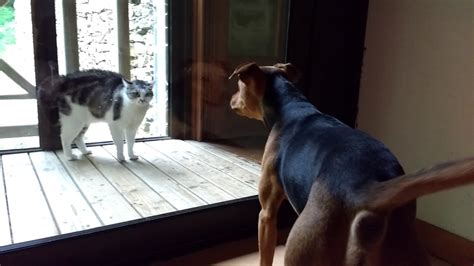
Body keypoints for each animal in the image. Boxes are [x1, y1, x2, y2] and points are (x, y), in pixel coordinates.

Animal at [229, 62, 474, 266]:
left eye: (240, 85)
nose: (230, 99)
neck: (290, 106)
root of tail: (368, 190)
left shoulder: (267, 213)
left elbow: (265, 255)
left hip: (304, 248)